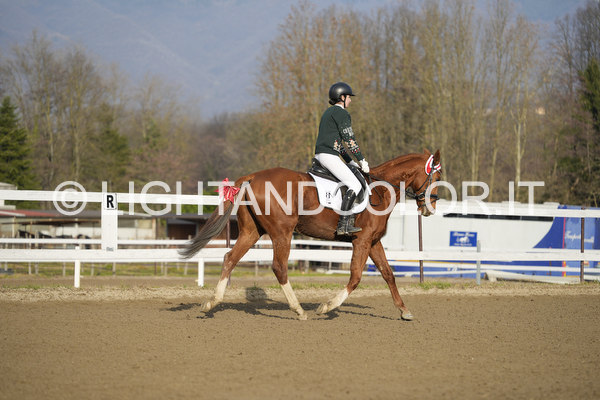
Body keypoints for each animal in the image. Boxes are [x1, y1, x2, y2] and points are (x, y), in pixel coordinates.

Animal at [180, 149, 442, 320]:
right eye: (437, 177)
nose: (430, 208)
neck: (380, 190)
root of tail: (252, 177)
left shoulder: (374, 241)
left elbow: (388, 274)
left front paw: (404, 310)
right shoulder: (362, 240)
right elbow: (356, 277)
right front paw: (327, 307)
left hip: (251, 232)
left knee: (230, 258)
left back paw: (211, 303)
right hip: (282, 233)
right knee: (279, 267)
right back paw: (298, 310)